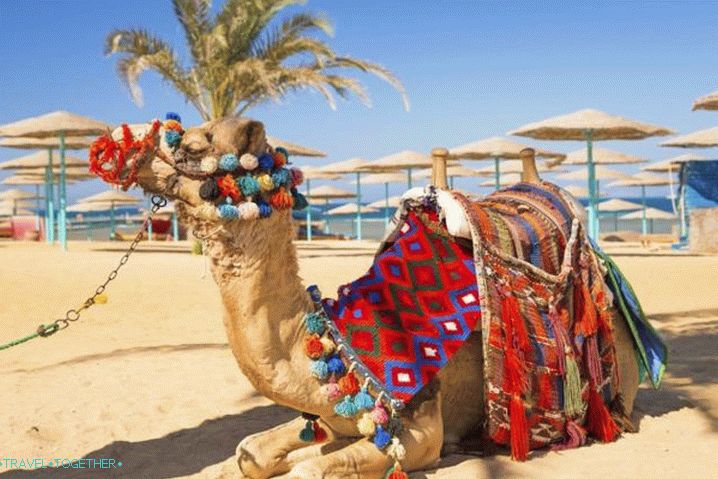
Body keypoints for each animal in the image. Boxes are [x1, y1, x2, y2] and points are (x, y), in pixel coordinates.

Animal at [91, 117, 640, 479]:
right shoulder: (330, 415)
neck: (338, 344)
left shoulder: (419, 428)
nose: (120, 143)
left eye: (192, 146)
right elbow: (250, 452)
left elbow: (311, 470)